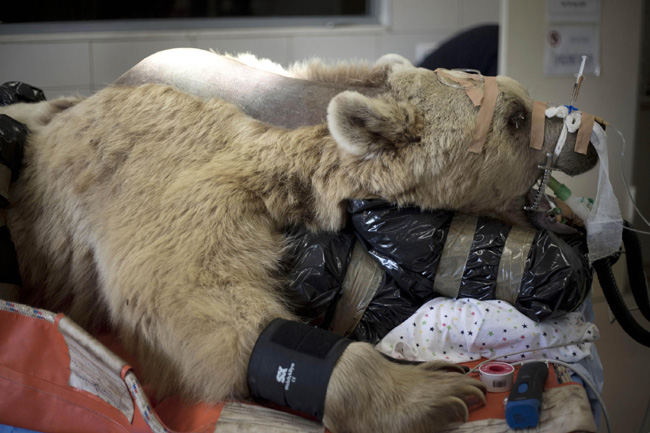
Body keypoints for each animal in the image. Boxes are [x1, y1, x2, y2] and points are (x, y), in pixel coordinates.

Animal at [1, 51, 597, 433]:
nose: (585, 146)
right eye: (516, 119)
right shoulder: (173, 161)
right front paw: (433, 390)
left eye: (519, 100)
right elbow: (180, 285)